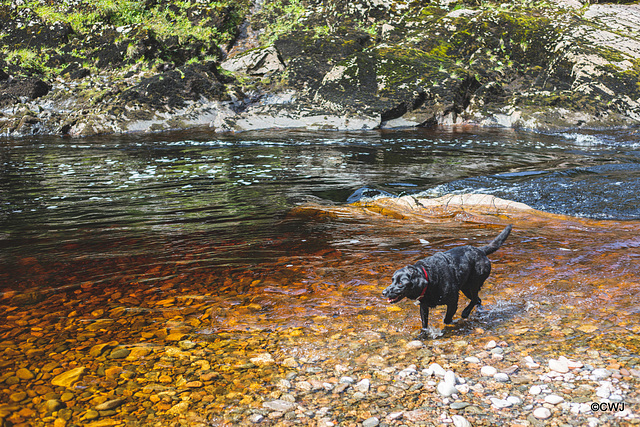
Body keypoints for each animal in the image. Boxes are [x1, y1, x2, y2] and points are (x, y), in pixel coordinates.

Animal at [382, 226, 512, 340]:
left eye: (400, 284)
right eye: (392, 280)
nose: (383, 292)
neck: (429, 278)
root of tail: (480, 250)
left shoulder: (453, 301)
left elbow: (447, 319)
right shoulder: (423, 306)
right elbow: (424, 325)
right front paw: (422, 336)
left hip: (474, 283)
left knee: (475, 298)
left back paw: (465, 313)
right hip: (465, 288)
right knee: (478, 300)